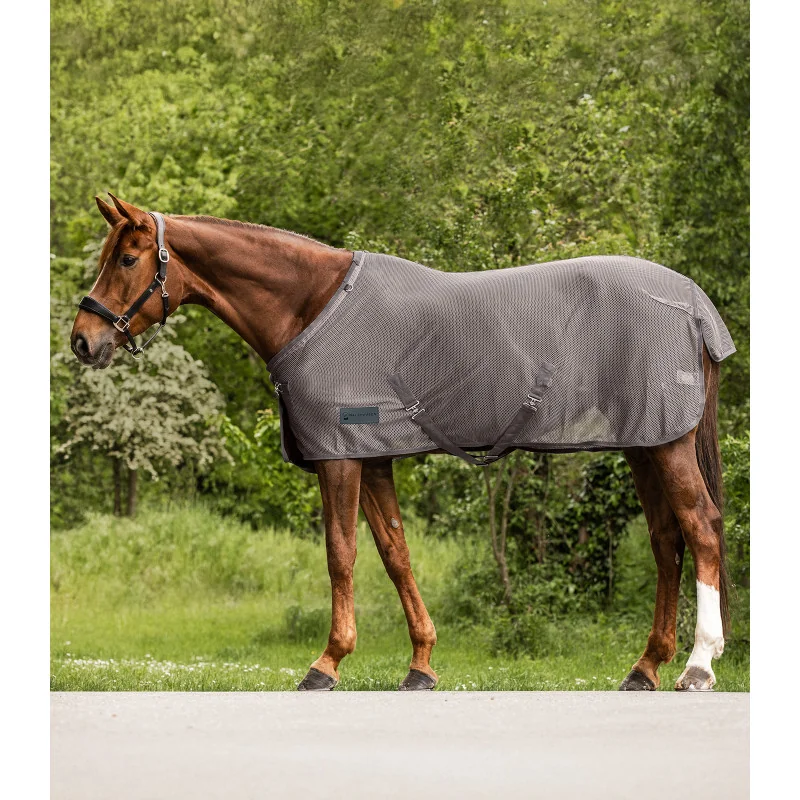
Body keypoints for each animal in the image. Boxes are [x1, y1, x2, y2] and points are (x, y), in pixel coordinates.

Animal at [71, 193, 731, 692]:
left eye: (127, 258)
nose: (82, 340)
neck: (312, 306)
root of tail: (694, 303)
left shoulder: (340, 457)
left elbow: (341, 554)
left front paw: (327, 663)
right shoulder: (374, 458)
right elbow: (395, 554)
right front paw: (421, 665)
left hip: (667, 445)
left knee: (699, 527)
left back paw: (698, 665)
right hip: (646, 443)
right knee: (666, 540)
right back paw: (645, 668)